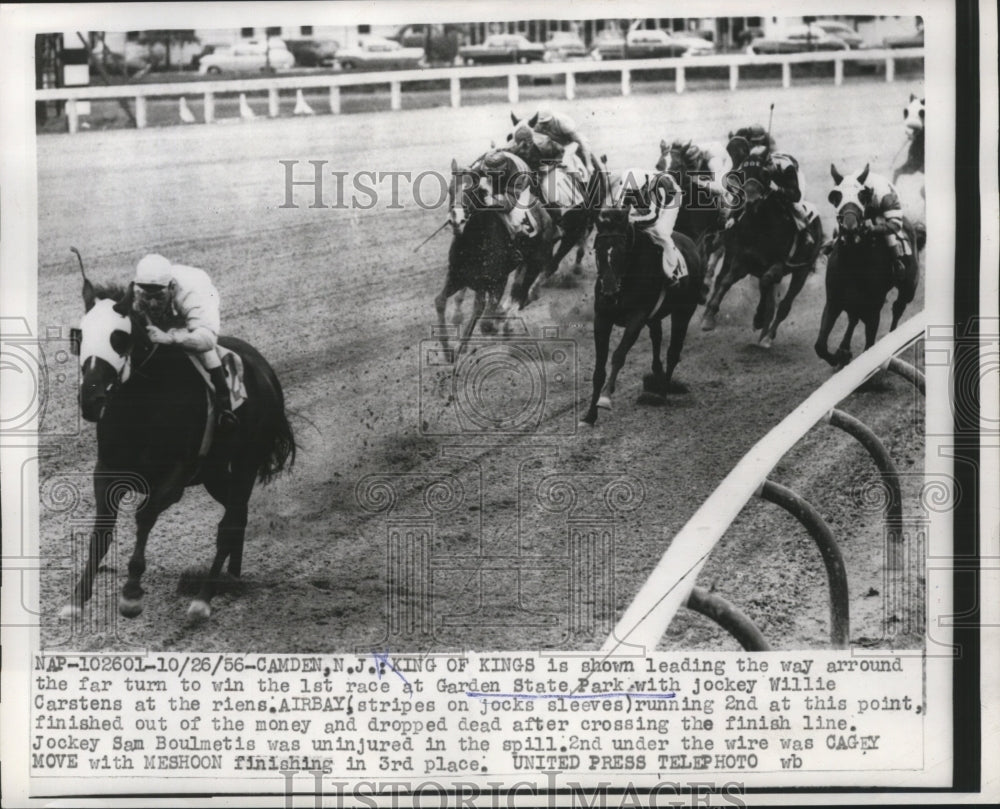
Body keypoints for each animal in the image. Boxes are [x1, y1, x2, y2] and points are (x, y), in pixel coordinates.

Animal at [62, 270, 294, 620]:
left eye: (119, 337)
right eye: (81, 335)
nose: (90, 398)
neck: (142, 404)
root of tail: (265, 370)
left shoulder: (176, 475)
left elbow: (145, 516)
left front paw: (131, 593)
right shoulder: (106, 471)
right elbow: (101, 532)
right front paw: (77, 599)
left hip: (245, 462)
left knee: (229, 522)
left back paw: (204, 597)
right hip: (214, 473)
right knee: (237, 512)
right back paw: (232, 577)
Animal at [580, 207, 704, 422]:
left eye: (622, 250)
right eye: (598, 249)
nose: (609, 293)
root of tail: (691, 244)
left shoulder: (637, 317)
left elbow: (618, 355)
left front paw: (605, 398)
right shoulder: (602, 318)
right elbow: (598, 369)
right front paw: (590, 415)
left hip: (684, 311)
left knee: (673, 352)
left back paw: (662, 393)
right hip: (654, 317)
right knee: (657, 338)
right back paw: (657, 377)